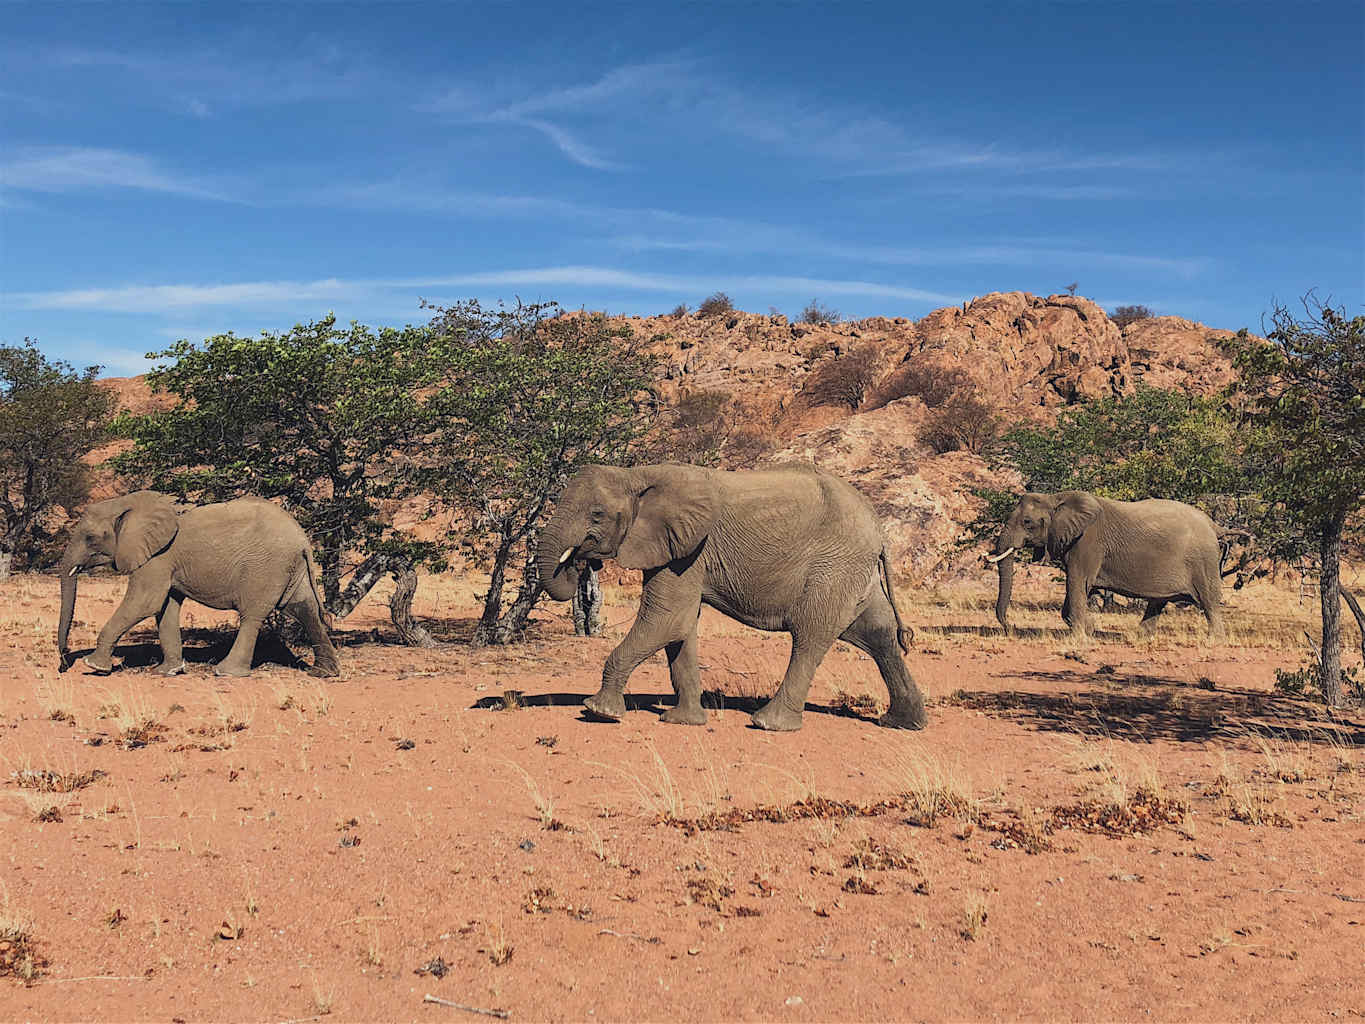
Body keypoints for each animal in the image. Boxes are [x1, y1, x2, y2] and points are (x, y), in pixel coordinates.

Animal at [57, 491, 339, 678]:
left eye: (90, 537)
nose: (63, 665)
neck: (128, 502)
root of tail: (303, 539)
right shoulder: (165, 561)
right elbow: (165, 609)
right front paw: (167, 671)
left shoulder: (158, 557)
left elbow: (144, 603)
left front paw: (94, 667)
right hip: (290, 568)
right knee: (304, 610)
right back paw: (323, 673)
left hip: (265, 567)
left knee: (252, 616)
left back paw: (226, 672)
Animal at [535, 463, 927, 732]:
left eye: (596, 515)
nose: (582, 562)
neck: (637, 474)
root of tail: (879, 531)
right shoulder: (677, 550)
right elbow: (680, 628)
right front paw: (683, 721)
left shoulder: (689, 549)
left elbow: (666, 619)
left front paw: (598, 711)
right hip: (855, 573)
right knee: (879, 635)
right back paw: (902, 723)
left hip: (835, 566)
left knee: (810, 636)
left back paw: (768, 724)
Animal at [990, 490, 1225, 638]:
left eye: (1027, 523)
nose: (1011, 626)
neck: (1056, 498)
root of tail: (1213, 525)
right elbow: (1076, 588)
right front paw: (1090, 628)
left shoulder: (1088, 542)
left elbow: (1078, 582)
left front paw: (1079, 637)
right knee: (1158, 602)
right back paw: (1140, 636)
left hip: (1203, 561)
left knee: (1209, 600)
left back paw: (1214, 639)